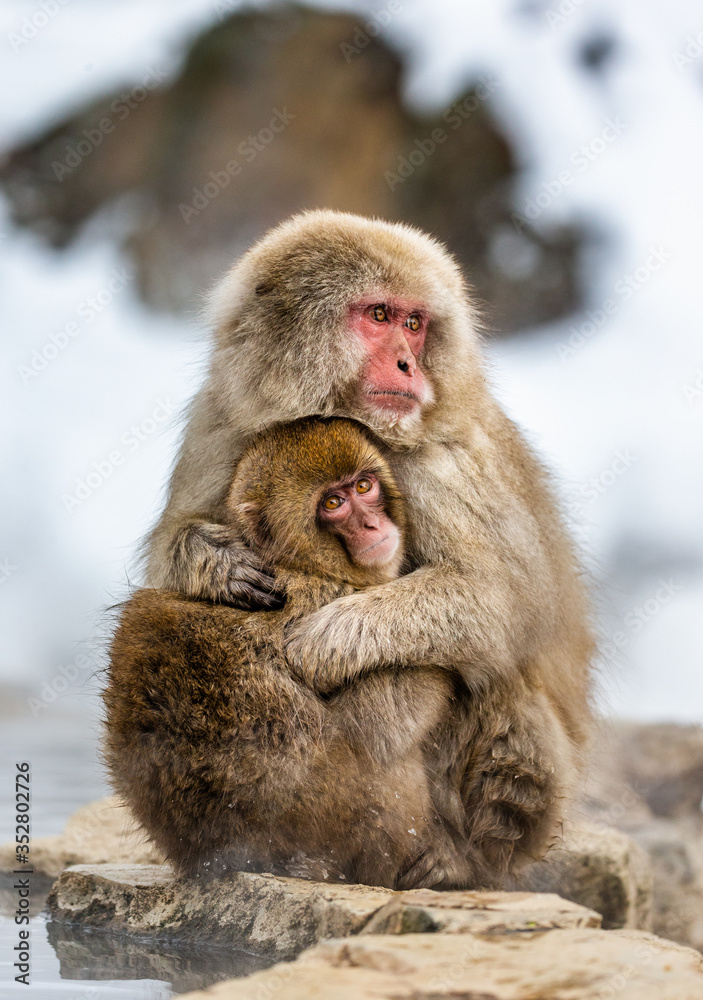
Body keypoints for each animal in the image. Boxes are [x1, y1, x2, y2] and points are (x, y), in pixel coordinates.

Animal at [104, 417, 466, 888]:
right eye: (333, 503)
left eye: (364, 486)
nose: (373, 524)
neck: (305, 565)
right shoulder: (325, 597)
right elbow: (383, 728)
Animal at [142, 210, 595, 884]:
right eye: (379, 315)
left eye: (415, 323)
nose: (409, 364)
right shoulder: (221, 418)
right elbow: (171, 553)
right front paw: (213, 561)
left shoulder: (444, 459)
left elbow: (506, 601)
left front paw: (330, 640)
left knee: (497, 676)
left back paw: (456, 861)